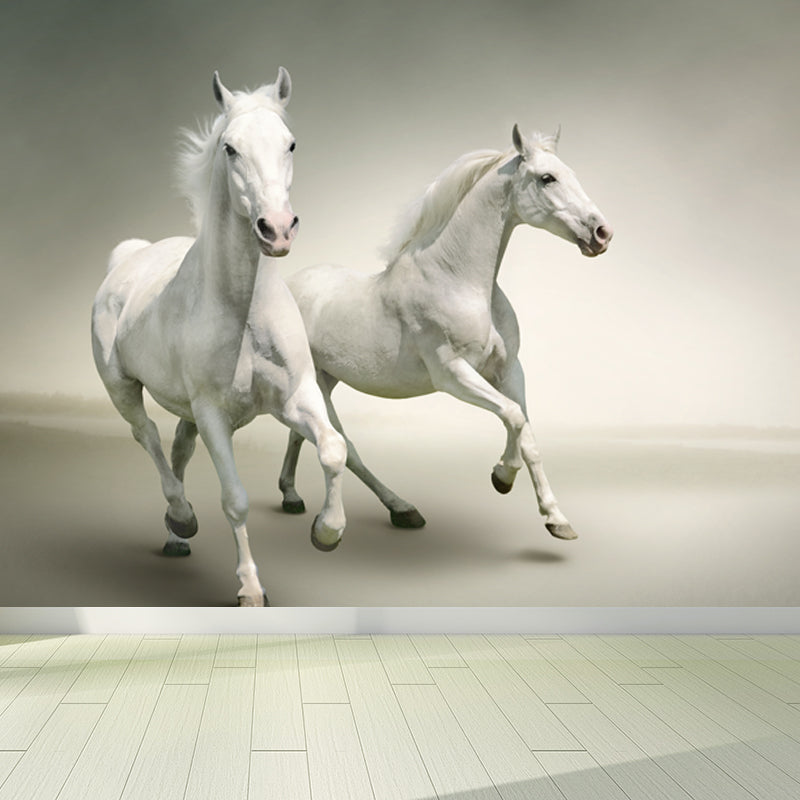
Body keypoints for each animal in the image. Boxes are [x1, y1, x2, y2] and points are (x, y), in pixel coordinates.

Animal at [91, 69, 347, 606]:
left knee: (177, 451)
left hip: (185, 409)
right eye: (230, 148)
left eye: (291, 143)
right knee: (147, 437)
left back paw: (174, 535)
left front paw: (327, 531)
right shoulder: (213, 415)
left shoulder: (295, 397)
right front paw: (250, 588)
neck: (244, 311)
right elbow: (236, 500)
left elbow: (333, 448)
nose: (277, 229)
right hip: (122, 387)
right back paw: (182, 518)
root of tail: (129, 256)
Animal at [278, 124, 612, 546]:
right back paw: (394, 510)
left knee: (301, 435)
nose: (602, 233)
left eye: (570, 173)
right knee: (343, 446)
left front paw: (556, 519)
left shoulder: (509, 370)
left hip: (324, 379)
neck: (458, 280)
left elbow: (528, 434)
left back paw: (292, 496)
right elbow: (513, 416)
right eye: (547, 178)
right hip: (317, 385)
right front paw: (502, 476)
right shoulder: (452, 374)